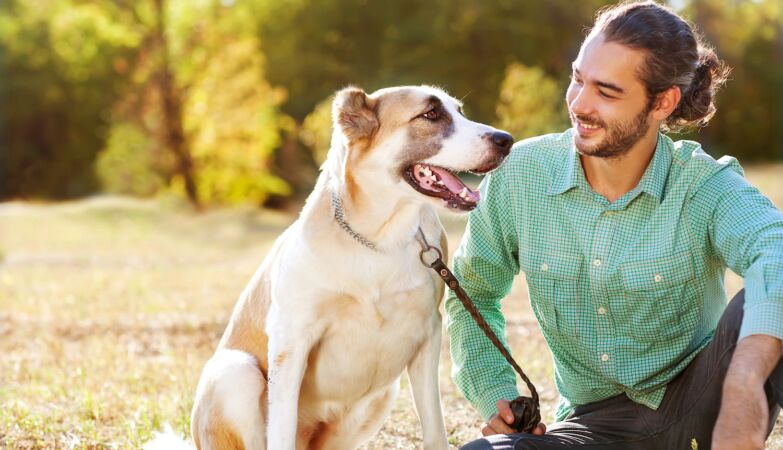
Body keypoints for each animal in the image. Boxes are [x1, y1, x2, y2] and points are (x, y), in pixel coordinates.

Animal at [163, 85, 516, 450]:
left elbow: (434, 428)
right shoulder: (291, 340)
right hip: (235, 372)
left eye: (459, 111)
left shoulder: (427, 335)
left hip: (382, 394)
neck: (379, 240)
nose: (506, 140)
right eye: (430, 115)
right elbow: (281, 429)